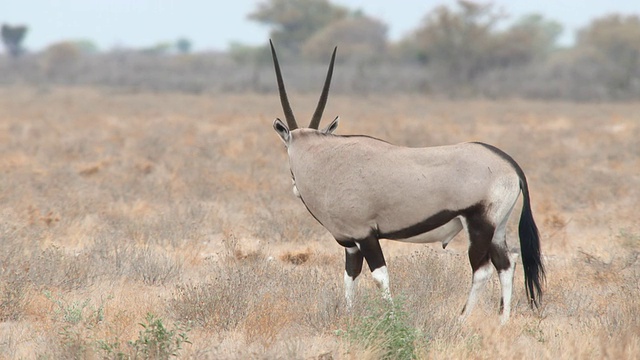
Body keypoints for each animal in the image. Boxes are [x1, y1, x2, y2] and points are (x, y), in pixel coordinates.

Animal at [268, 40, 544, 324]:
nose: (294, 186)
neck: (324, 158)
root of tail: (510, 165)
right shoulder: (351, 243)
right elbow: (350, 277)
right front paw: (349, 316)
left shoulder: (366, 235)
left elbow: (379, 276)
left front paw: (391, 319)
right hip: (497, 228)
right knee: (507, 263)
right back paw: (502, 321)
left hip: (479, 225)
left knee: (482, 270)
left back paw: (461, 319)